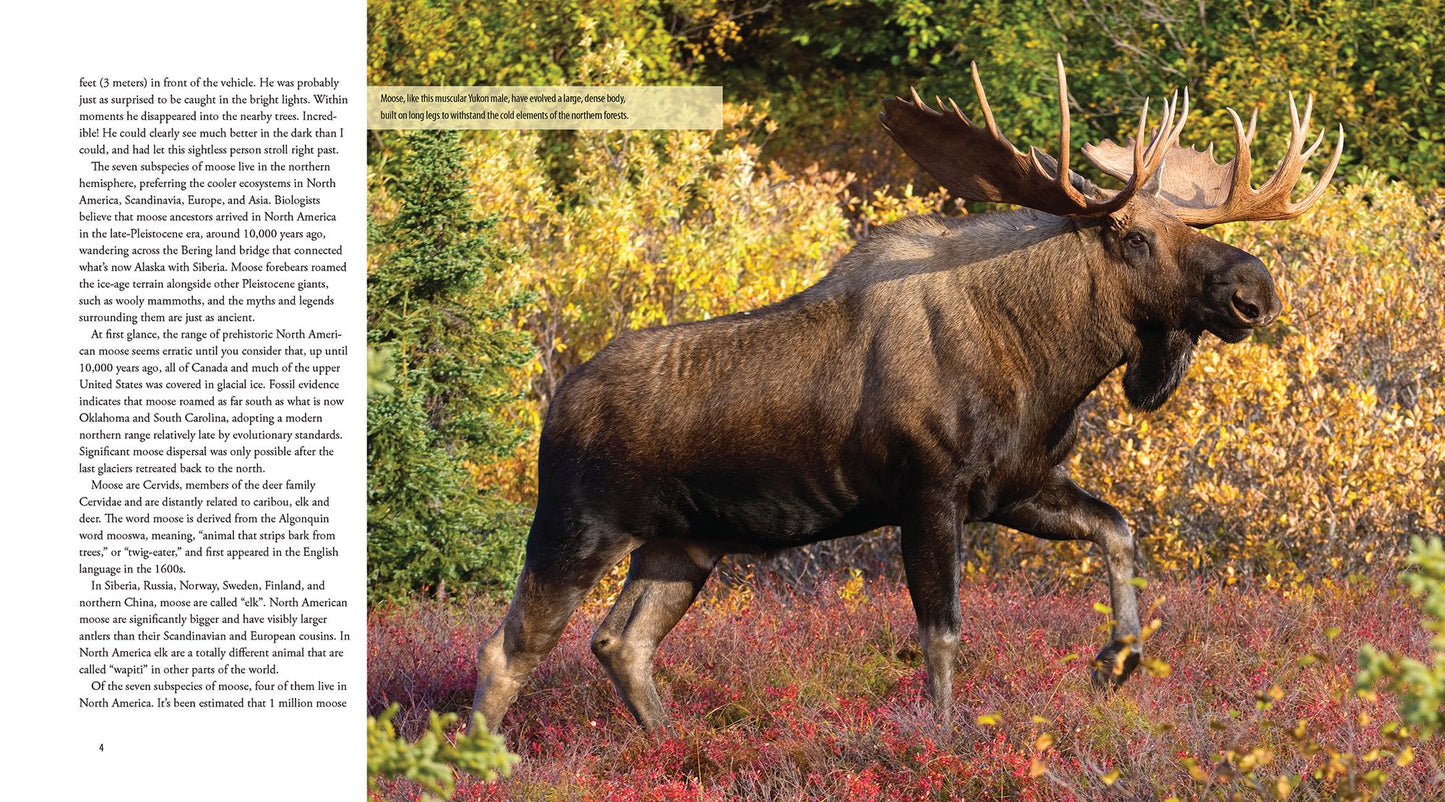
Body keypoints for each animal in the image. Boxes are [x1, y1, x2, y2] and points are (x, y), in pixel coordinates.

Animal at [471, 56, 1342, 734]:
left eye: (1189, 226)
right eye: (1130, 236)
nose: (1253, 288)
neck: (1045, 364)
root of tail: (553, 403)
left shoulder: (1017, 487)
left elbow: (1119, 531)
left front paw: (1115, 660)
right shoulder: (928, 491)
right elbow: (943, 635)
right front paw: (946, 739)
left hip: (682, 544)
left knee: (622, 643)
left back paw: (671, 746)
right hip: (577, 525)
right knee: (508, 648)